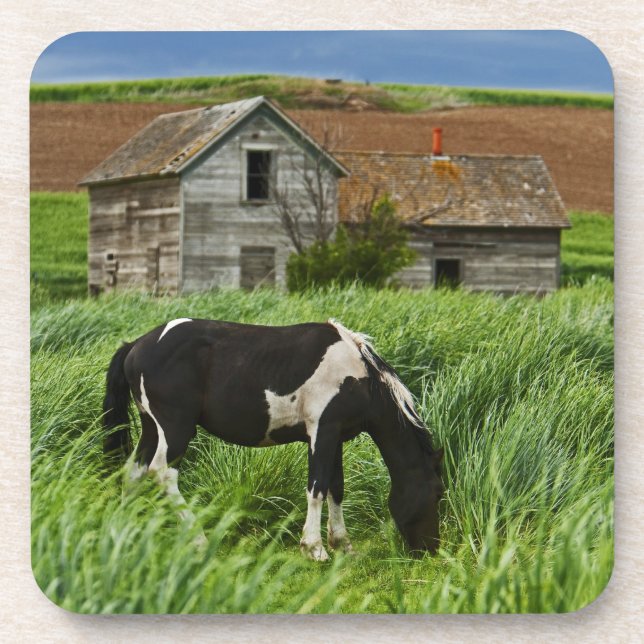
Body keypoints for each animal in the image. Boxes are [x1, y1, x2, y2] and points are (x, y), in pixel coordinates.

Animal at [103, 318, 444, 560]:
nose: (430, 550)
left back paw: (128, 530)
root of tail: (136, 345)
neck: (360, 377)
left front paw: (343, 544)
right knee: (162, 473)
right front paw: (314, 548)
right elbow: (317, 489)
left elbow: (336, 489)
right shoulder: (322, 431)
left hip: (151, 427)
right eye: (439, 493)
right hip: (175, 428)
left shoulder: (334, 437)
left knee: (134, 471)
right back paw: (197, 538)